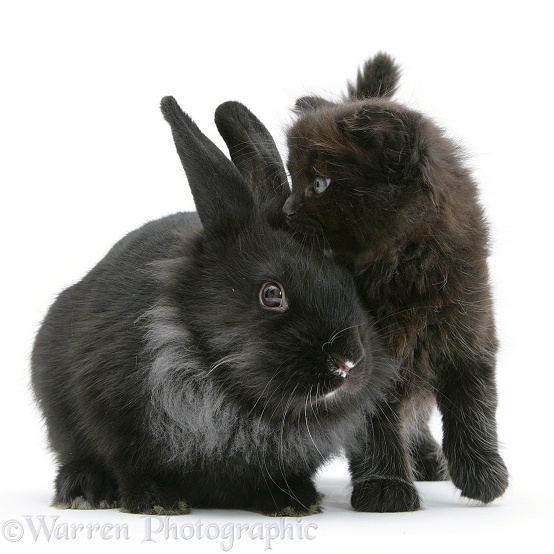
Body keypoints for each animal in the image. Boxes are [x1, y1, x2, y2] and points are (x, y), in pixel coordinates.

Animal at [31, 94, 392, 512]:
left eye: (348, 281)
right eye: (271, 294)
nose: (348, 361)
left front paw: (293, 502)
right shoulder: (109, 413)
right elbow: (129, 465)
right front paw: (158, 502)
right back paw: (85, 490)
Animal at [213, 54, 506, 512]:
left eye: (320, 184)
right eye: (294, 179)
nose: (287, 211)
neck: (401, 272)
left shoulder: (469, 330)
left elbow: (474, 406)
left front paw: (484, 477)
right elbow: (373, 425)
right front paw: (385, 489)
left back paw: (430, 461)